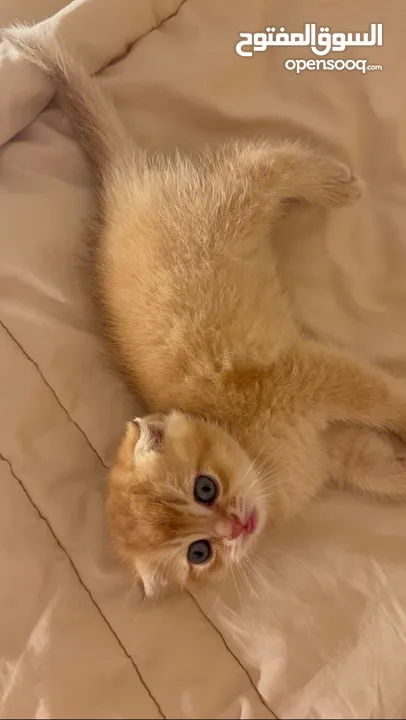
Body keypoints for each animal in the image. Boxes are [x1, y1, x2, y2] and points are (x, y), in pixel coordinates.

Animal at [5, 28, 406, 596]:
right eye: (200, 553)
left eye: (205, 488)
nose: (235, 526)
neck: (256, 452)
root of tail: (120, 192)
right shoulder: (336, 447)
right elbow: (378, 466)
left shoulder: (311, 374)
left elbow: (383, 397)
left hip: (224, 209)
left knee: (257, 163)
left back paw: (331, 181)